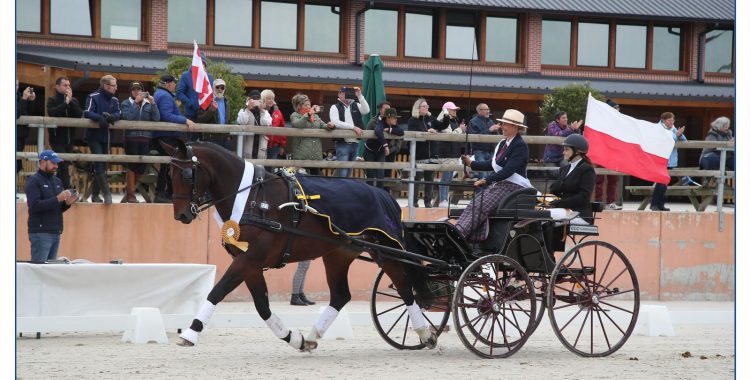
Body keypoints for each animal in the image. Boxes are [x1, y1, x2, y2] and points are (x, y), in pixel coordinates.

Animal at [162, 140, 438, 354]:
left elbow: (217, 292)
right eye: (170, 175)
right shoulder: (250, 263)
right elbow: (262, 307)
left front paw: (190, 332)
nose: (182, 215)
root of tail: (384, 194)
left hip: (388, 252)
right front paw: (295, 339)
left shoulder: (249, 259)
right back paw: (314, 335)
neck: (253, 200)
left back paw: (425, 334)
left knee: (405, 289)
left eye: (187, 175)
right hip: (337, 254)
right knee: (341, 295)